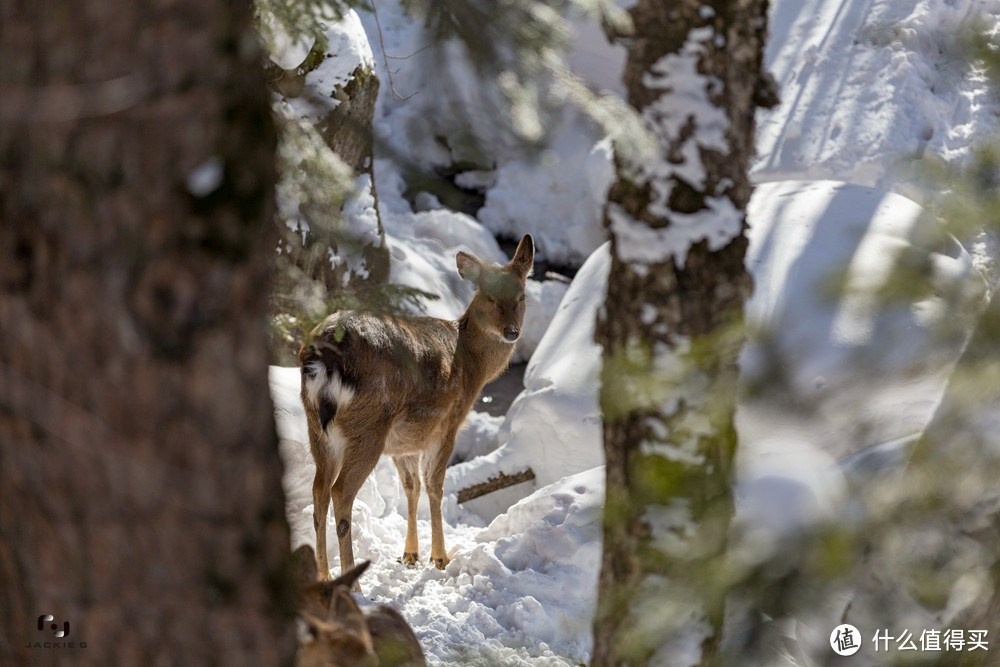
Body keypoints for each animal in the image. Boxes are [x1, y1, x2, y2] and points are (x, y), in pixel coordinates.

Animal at [300, 235, 536, 584]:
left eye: (521, 296)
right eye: (490, 297)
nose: (511, 331)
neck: (473, 365)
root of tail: (324, 353)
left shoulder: (404, 441)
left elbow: (411, 486)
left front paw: (410, 554)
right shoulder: (447, 424)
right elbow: (435, 486)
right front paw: (440, 557)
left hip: (317, 427)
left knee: (318, 492)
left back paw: (324, 576)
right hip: (369, 424)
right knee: (340, 492)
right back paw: (353, 585)